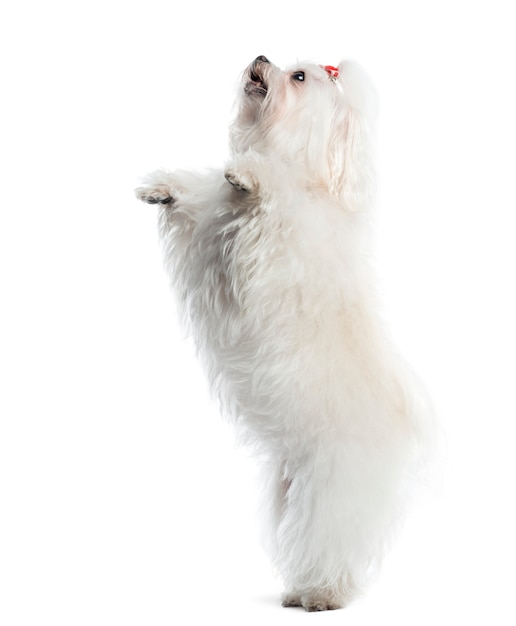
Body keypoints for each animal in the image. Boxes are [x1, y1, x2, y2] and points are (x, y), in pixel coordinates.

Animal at [135, 56, 434, 612]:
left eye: (298, 77)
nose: (260, 58)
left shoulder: (272, 248)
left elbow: (267, 193)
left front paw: (249, 174)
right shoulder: (208, 240)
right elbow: (199, 206)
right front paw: (163, 188)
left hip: (336, 487)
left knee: (336, 541)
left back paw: (323, 594)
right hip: (289, 487)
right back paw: (301, 587)